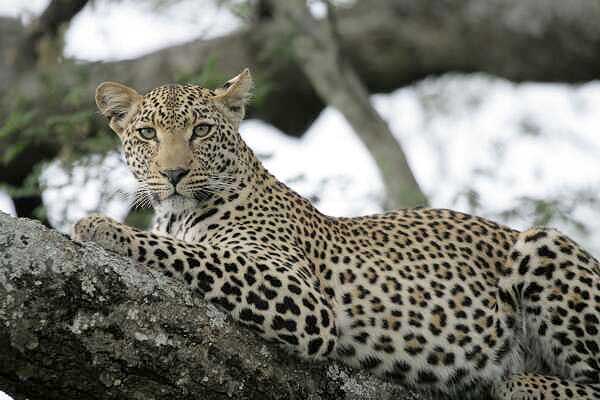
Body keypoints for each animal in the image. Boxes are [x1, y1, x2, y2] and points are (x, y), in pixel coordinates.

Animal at [74, 69, 600, 400]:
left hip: (544, 244)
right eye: (147, 134)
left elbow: (188, 252)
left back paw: (519, 383)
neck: (179, 214)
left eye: (201, 130)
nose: (175, 173)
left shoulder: (303, 298)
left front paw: (100, 226)